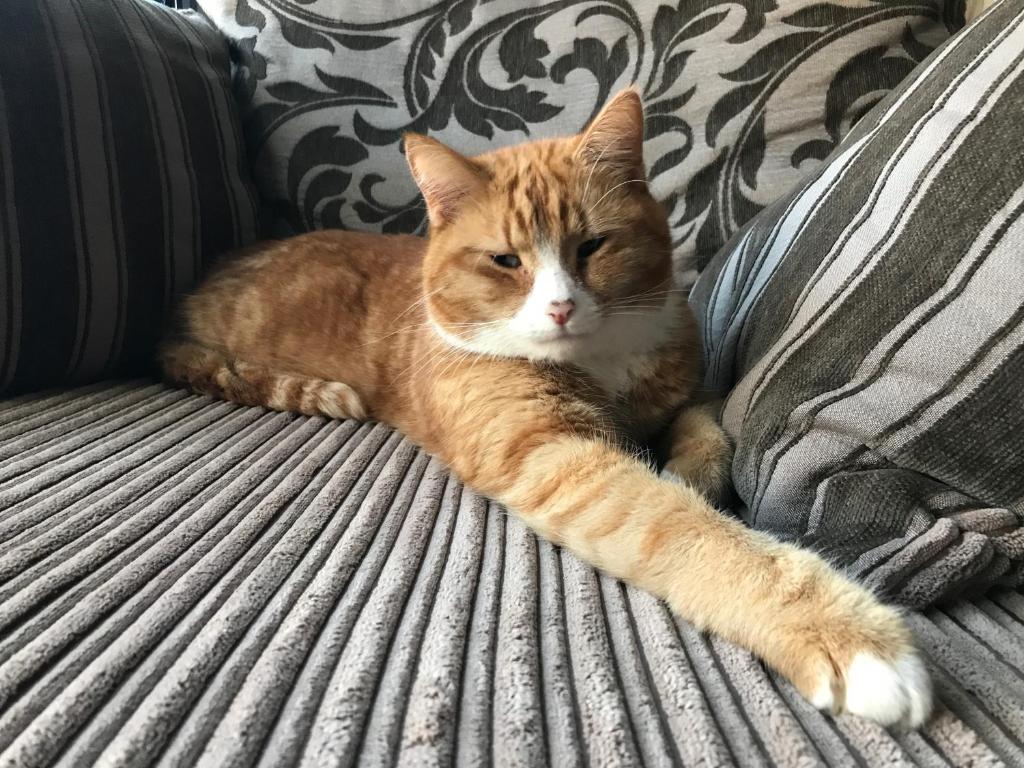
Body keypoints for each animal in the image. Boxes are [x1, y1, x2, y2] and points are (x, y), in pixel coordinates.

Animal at [163, 88, 933, 729]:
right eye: (506, 261)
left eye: (592, 245)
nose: (561, 306)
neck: (600, 361)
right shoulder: (553, 454)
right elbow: (688, 531)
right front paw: (850, 637)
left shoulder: (685, 393)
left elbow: (704, 433)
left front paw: (688, 471)